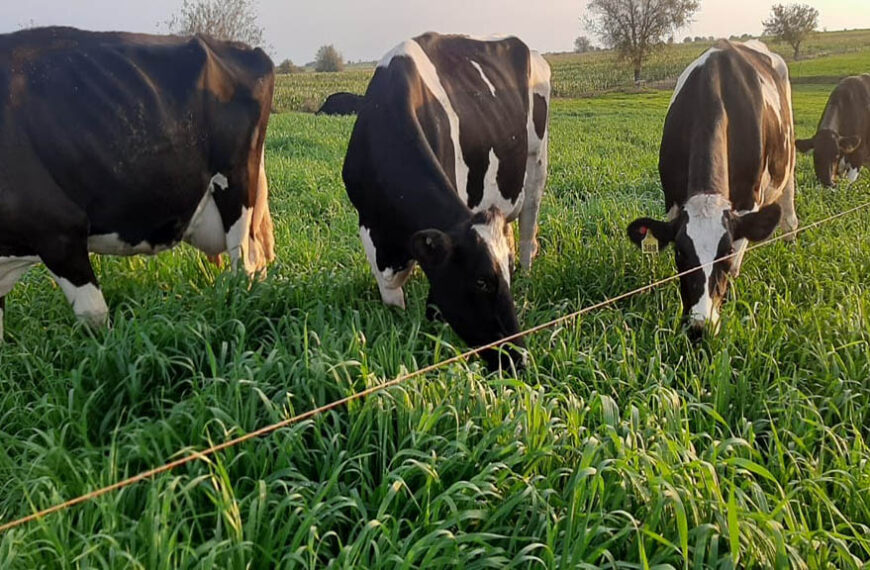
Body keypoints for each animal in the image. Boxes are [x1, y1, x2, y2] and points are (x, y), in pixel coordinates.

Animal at [342, 32, 552, 368]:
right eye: (481, 281)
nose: (518, 358)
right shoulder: (370, 229)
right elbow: (392, 296)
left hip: (537, 162)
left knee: (528, 228)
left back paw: (528, 272)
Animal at [628, 41, 796, 338]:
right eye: (680, 253)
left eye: (725, 253)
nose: (700, 326)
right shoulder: (673, 201)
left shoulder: (747, 203)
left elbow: (736, 265)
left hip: (789, 157)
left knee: (789, 211)